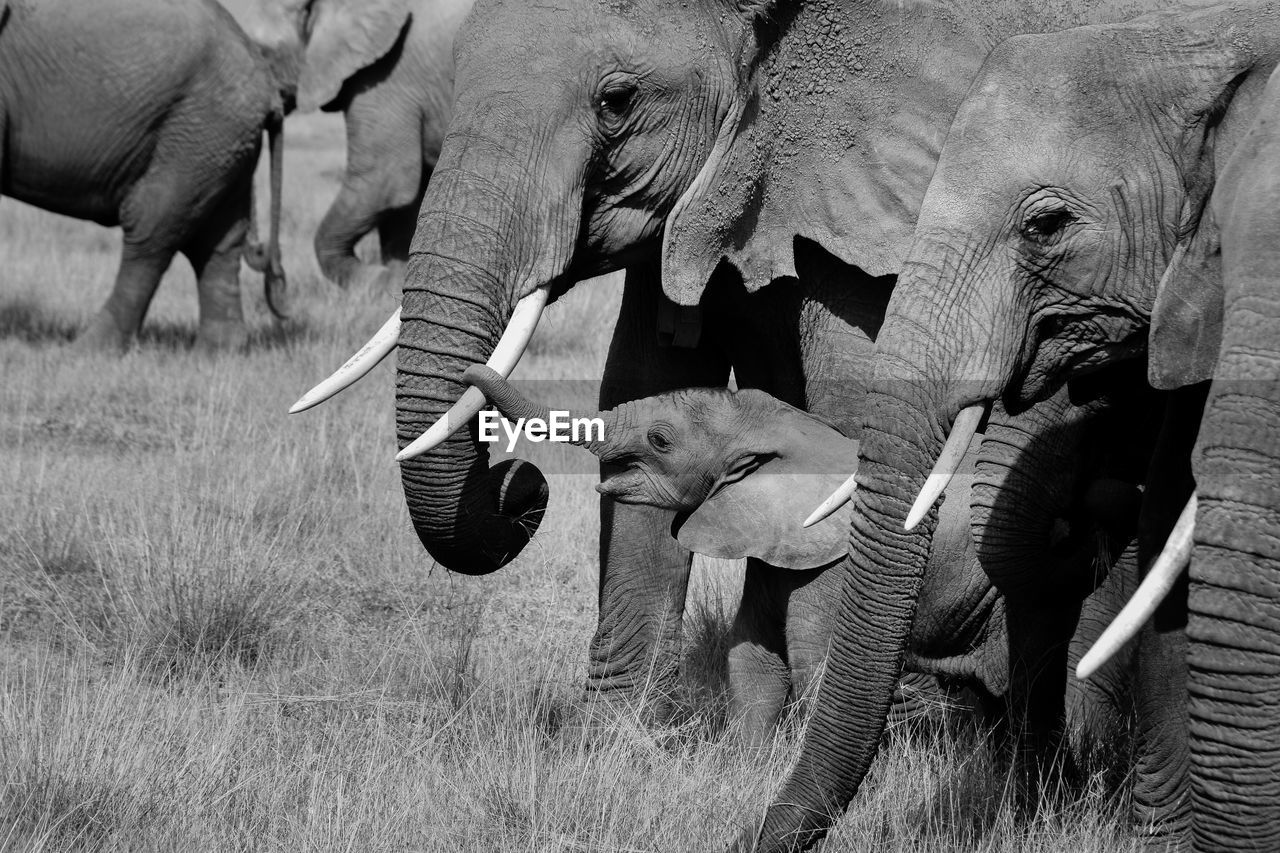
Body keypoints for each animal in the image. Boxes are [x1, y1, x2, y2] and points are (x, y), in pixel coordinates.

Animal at [0, 0, 285, 348]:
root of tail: (270, 88)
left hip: (200, 132)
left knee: (151, 225)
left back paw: (88, 350)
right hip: (223, 142)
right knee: (219, 238)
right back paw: (216, 352)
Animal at [220, 0, 476, 289]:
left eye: (262, 52)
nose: (261, 250)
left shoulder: (387, 77)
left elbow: (383, 185)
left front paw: (376, 281)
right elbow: (402, 205)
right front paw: (392, 280)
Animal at [465, 361, 1146, 753]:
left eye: (660, 440)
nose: (472, 371)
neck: (790, 431)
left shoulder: (834, 566)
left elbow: (815, 663)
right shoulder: (774, 548)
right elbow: (752, 654)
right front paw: (743, 770)